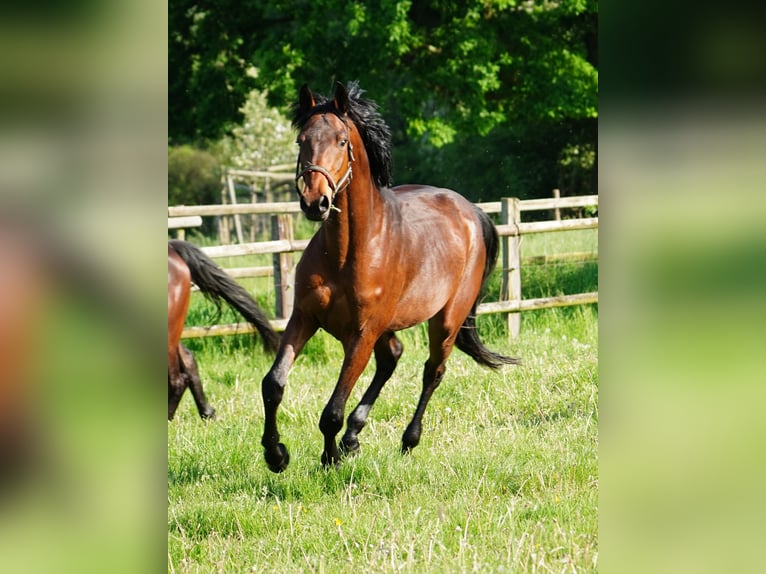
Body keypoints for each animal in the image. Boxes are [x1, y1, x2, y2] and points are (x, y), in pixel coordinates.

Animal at [260, 82, 520, 472]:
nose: (315, 202)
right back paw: (354, 437)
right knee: (392, 357)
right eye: (301, 140)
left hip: (446, 321)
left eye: (341, 141)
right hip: (385, 328)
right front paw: (276, 454)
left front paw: (329, 460)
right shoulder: (305, 318)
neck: (349, 250)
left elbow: (331, 411)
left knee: (432, 371)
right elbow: (274, 384)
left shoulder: (362, 333)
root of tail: (472, 211)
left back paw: (407, 440)